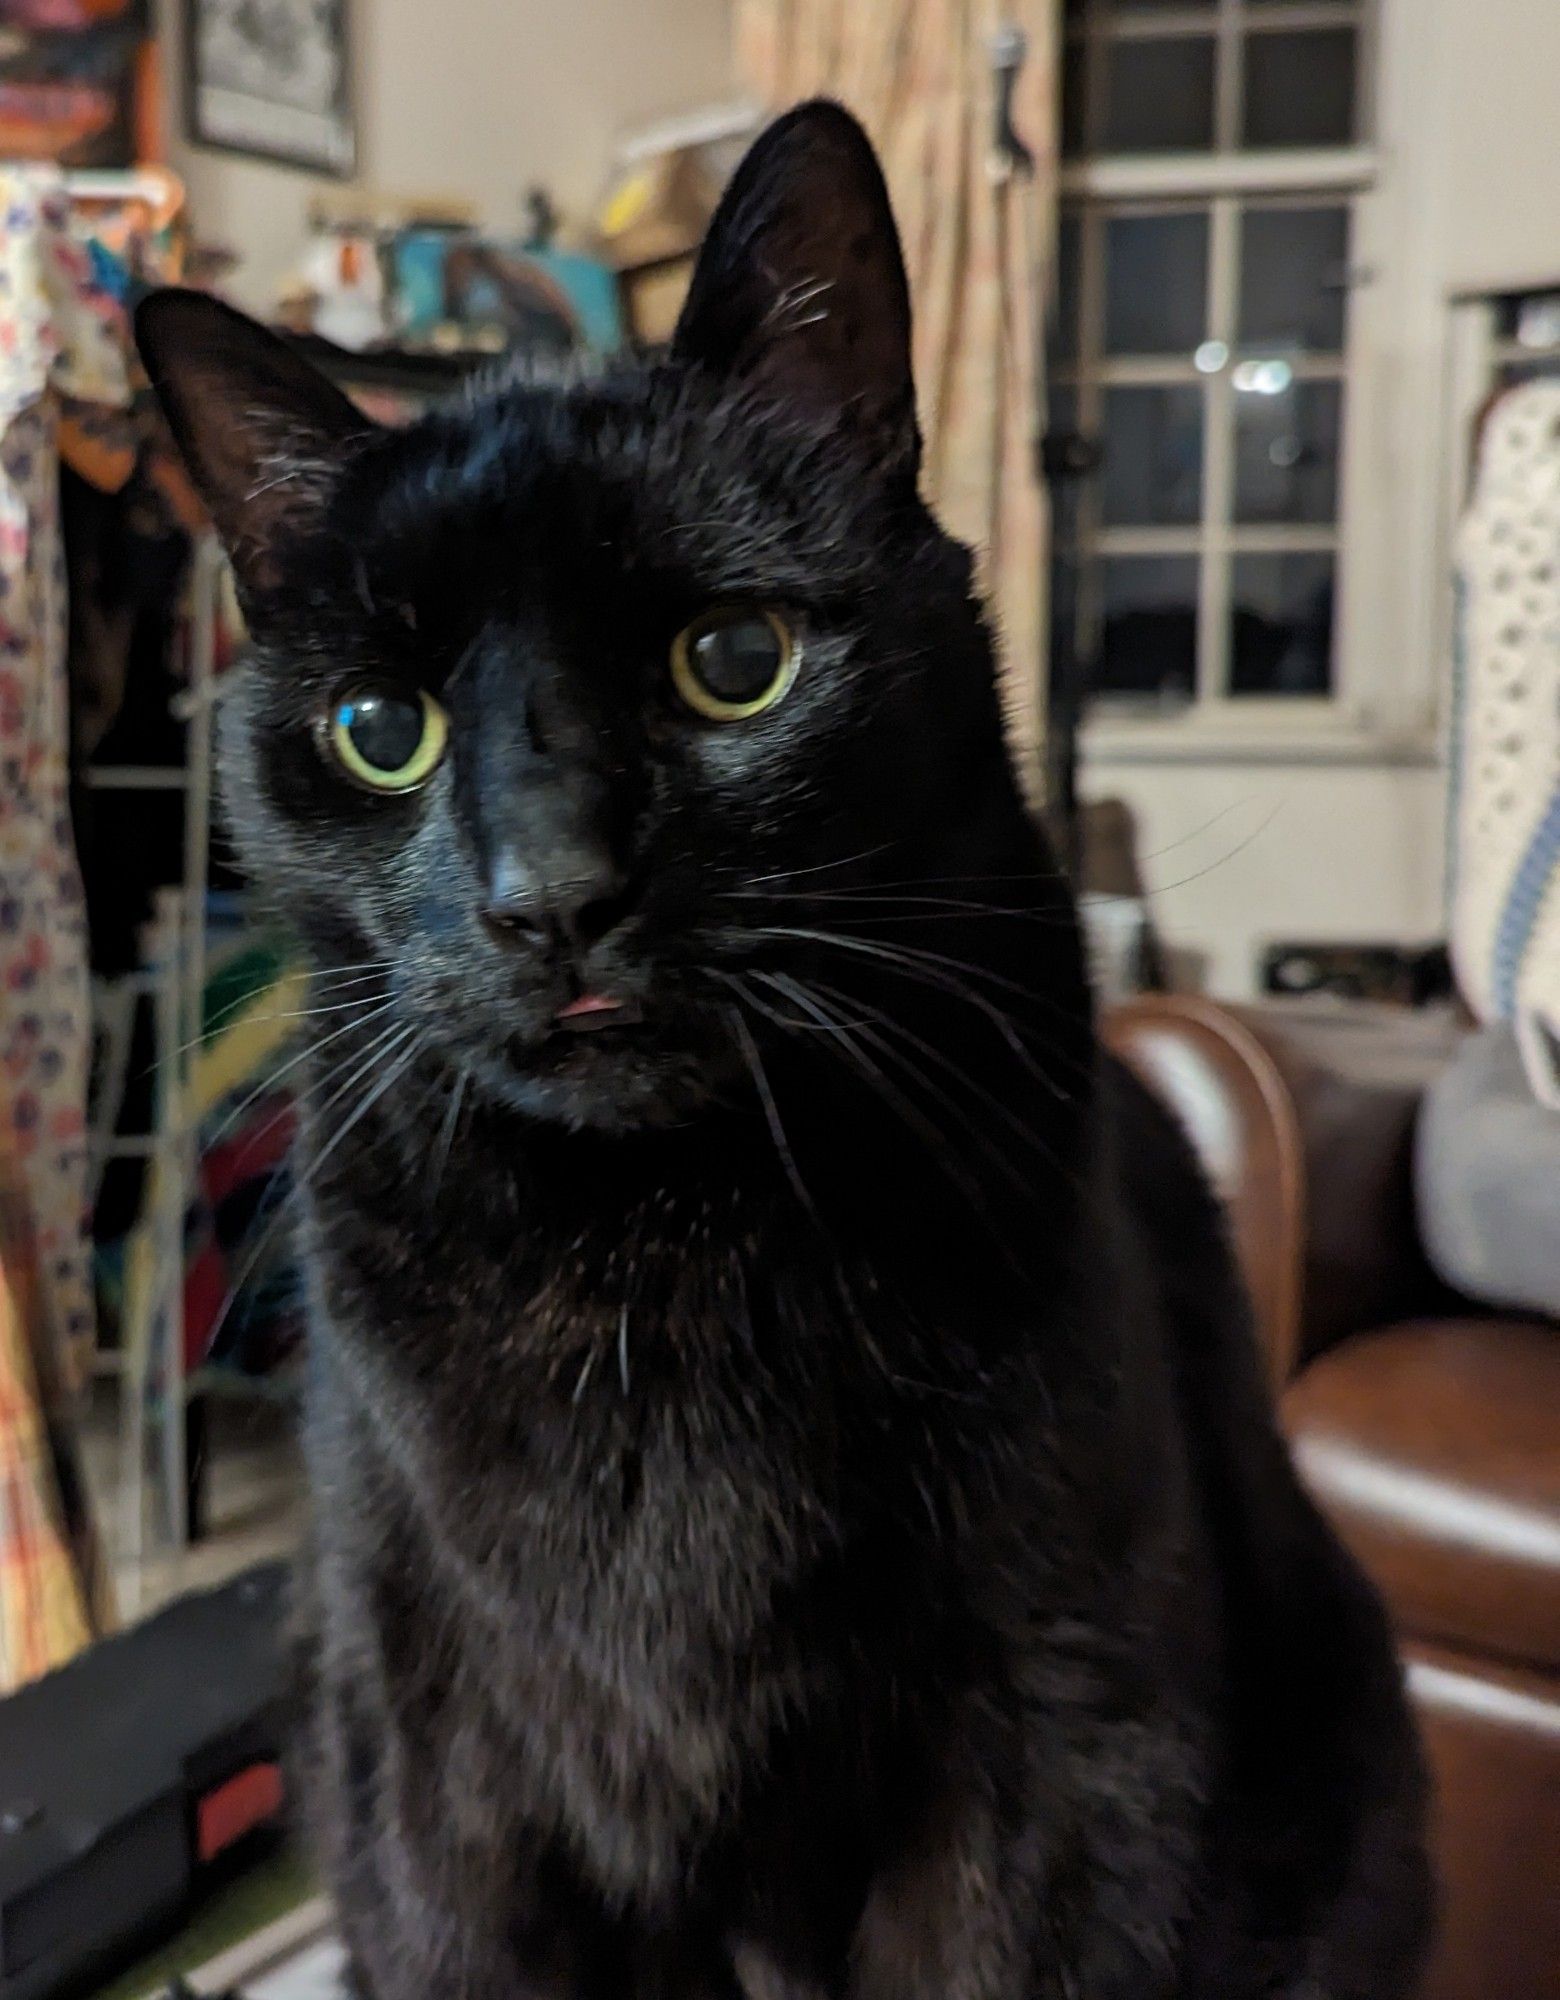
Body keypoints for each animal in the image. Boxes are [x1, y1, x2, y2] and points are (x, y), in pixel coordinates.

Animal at [140, 105, 1432, 2000]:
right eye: (382, 729)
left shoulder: (1063, 1723)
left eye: (734, 662)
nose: (553, 896)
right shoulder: (434, 1756)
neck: (647, 1258)